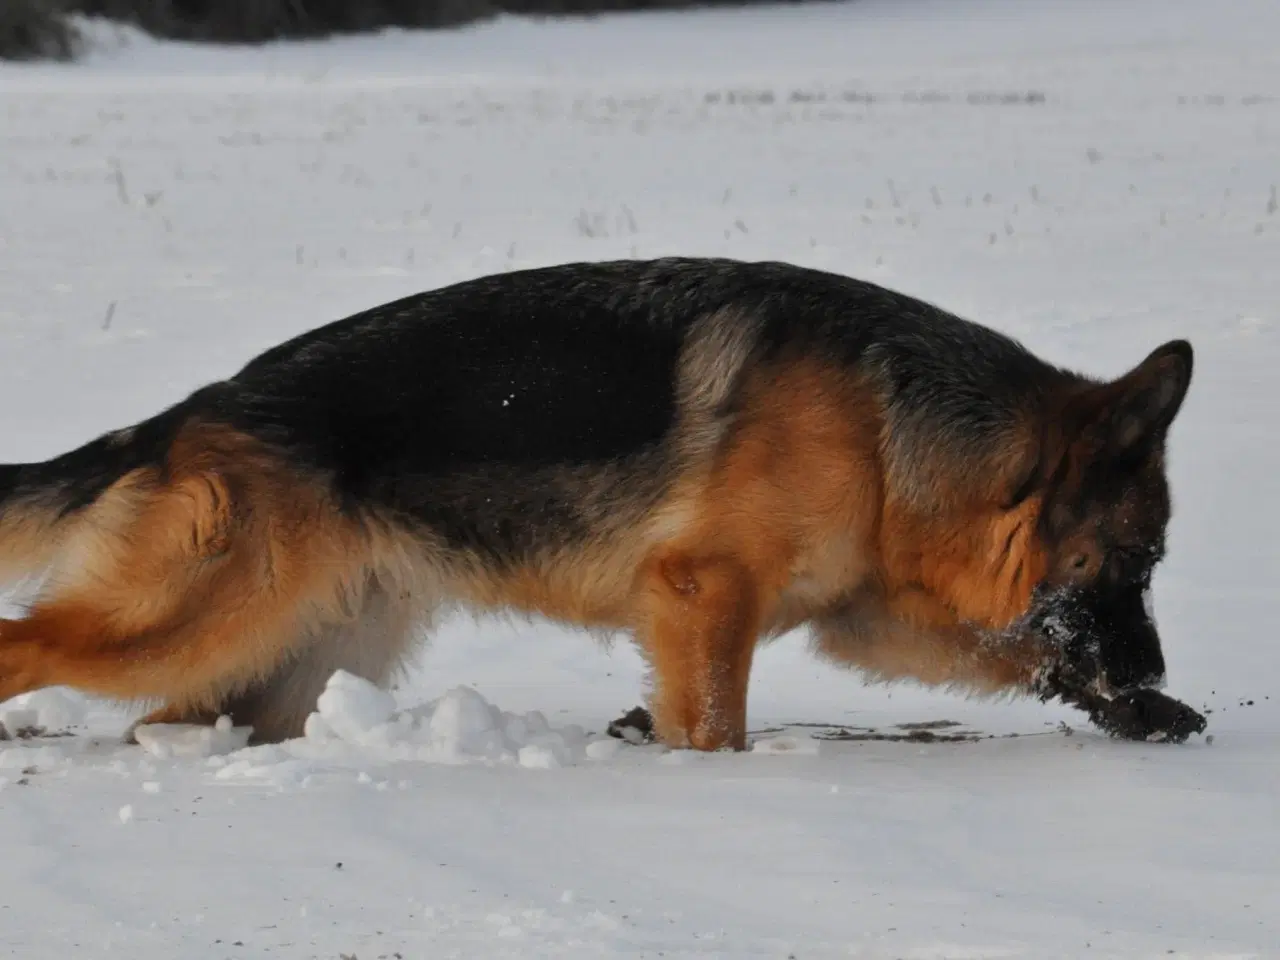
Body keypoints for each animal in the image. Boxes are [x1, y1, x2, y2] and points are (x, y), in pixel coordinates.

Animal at [0, 261, 1198, 752]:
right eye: (1132, 559)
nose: (1150, 669)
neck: (886, 420)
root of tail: (193, 412)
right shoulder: (703, 594)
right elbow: (713, 728)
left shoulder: (863, 616)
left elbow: (1008, 650)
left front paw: (1141, 714)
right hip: (195, 623)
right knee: (29, 646)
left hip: (269, 663)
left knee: (165, 724)